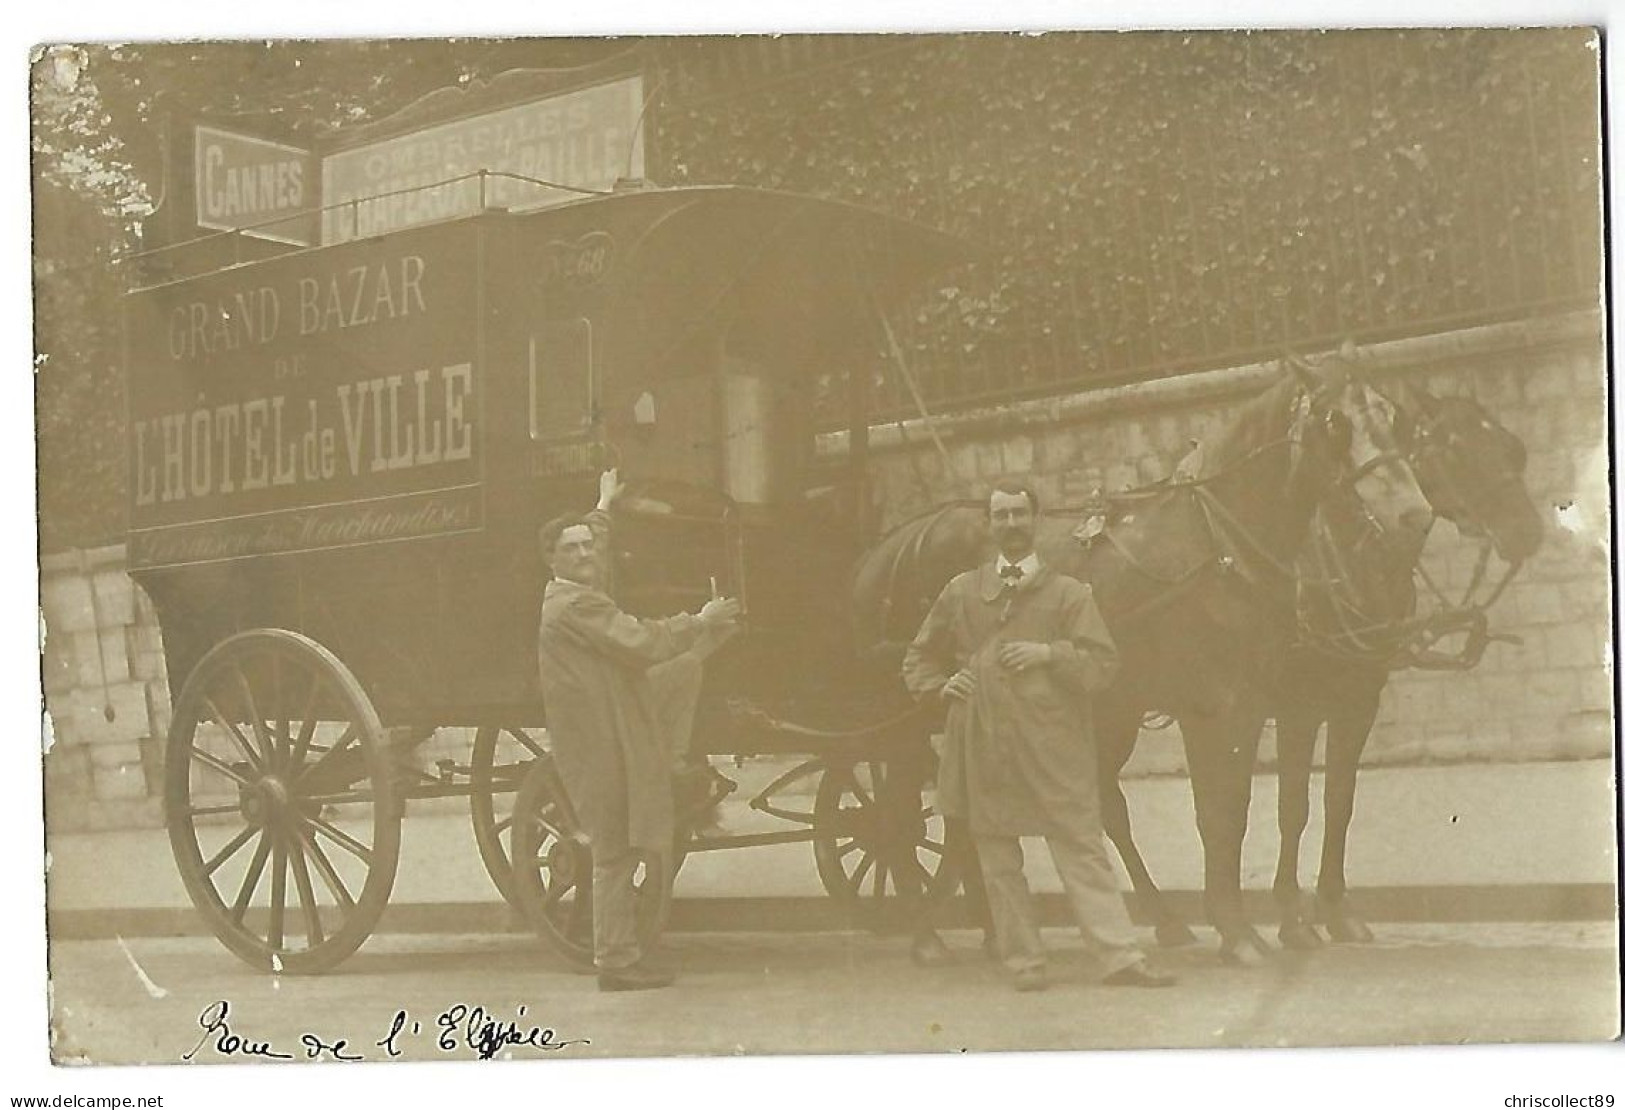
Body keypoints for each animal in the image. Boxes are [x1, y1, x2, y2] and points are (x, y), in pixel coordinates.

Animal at [858, 355, 1430, 962]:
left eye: (1394, 418)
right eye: (1334, 423)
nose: (1413, 514)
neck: (1217, 546)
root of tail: (893, 543)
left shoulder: (1269, 705)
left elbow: (1282, 805)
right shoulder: (1219, 708)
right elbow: (1223, 814)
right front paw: (1240, 928)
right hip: (910, 719)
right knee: (898, 809)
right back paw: (928, 932)